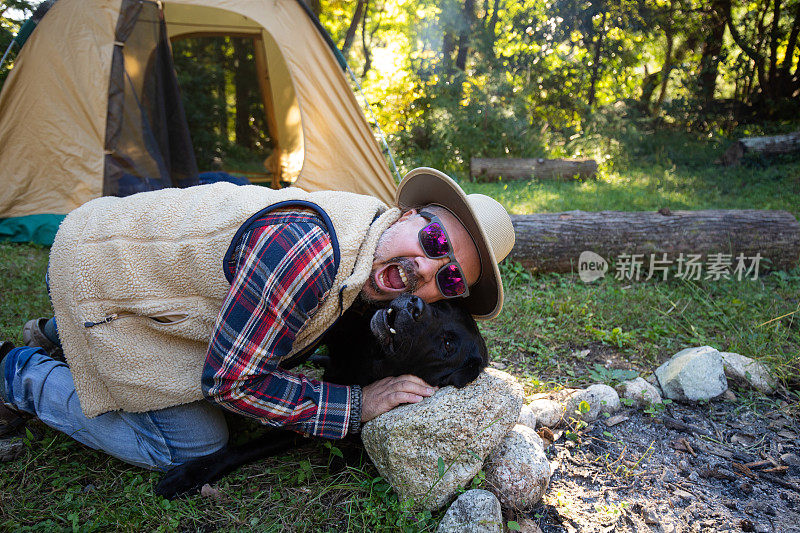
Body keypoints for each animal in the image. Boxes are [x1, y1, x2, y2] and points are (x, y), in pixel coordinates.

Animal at [153, 294, 484, 496]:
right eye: (441, 305)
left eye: (447, 344)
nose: (415, 304)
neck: (370, 359)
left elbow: (249, 446)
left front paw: (192, 473)